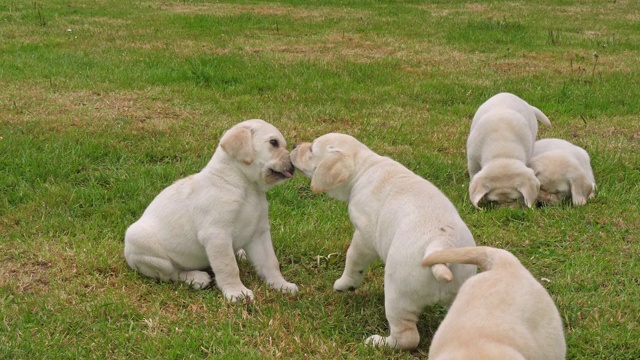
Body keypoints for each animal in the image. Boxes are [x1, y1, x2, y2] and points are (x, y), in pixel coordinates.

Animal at [125, 119, 300, 302]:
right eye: (274, 143)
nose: (293, 164)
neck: (246, 187)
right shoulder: (217, 234)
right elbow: (229, 267)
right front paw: (237, 293)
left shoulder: (260, 232)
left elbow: (270, 262)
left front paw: (281, 285)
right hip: (142, 245)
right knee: (170, 273)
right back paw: (195, 278)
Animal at [290, 132, 476, 348]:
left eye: (311, 149)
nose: (294, 145)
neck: (364, 166)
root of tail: (440, 246)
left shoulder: (363, 236)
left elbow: (353, 260)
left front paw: (344, 284)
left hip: (398, 294)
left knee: (407, 337)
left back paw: (378, 342)